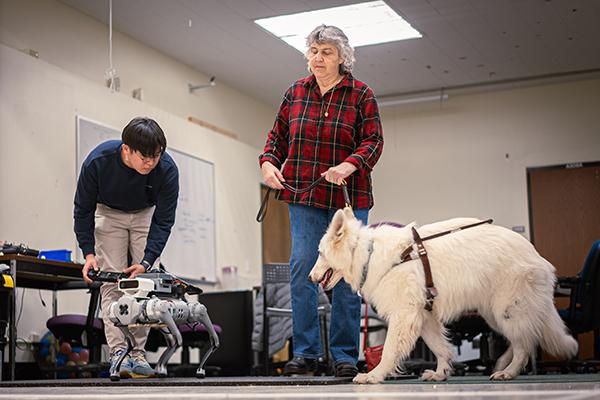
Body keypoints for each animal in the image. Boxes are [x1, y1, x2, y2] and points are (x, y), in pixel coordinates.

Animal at [88, 270, 219, 380]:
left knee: (213, 339)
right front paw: (115, 373)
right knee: (172, 342)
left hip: (195, 312)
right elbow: (131, 343)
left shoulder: (163, 311)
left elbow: (179, 340)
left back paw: (199, 369)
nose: (123, 306)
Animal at [310, 208, 576, 382]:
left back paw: (508, 371)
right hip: (495, 314)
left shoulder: (404, 315)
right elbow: (440, 347)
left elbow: (389, 350)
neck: (367, 253)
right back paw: (503, 364)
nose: (311, 277)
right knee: (524, 339)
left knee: (525, 344)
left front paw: (374, 375)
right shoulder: (424, 315)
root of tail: (537, 256)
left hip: (508, 310)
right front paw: (440, 373)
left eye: (320, 253)